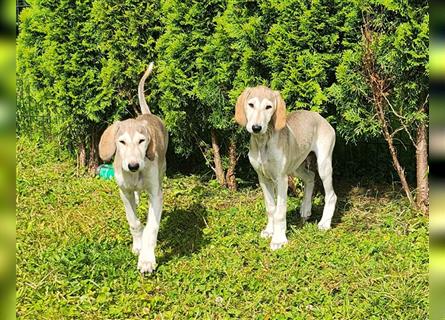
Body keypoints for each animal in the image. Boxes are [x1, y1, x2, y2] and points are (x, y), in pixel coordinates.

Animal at [98, 63, 167, 272]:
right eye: (121, 142)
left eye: (142, 141)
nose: (133, 165)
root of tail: (146, 114)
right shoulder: (124, 192)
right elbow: (134, 222)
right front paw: (138, 245)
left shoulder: (155, 194)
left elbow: (151, 227)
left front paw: (147, 259)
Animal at [234, 85, 334, 250]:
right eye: (251, 105)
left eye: (268, 107)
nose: (256, 127)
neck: (263, 143)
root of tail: (320, 117)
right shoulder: (263, 178)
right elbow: (270, 208)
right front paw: (269, 231)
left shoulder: (281, 179)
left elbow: (279, 212)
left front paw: (278, 239)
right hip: (296, 166)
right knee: (310, 177)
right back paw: (305, 209)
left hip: (324, 164)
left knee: (331, 195)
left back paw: (324, 223)